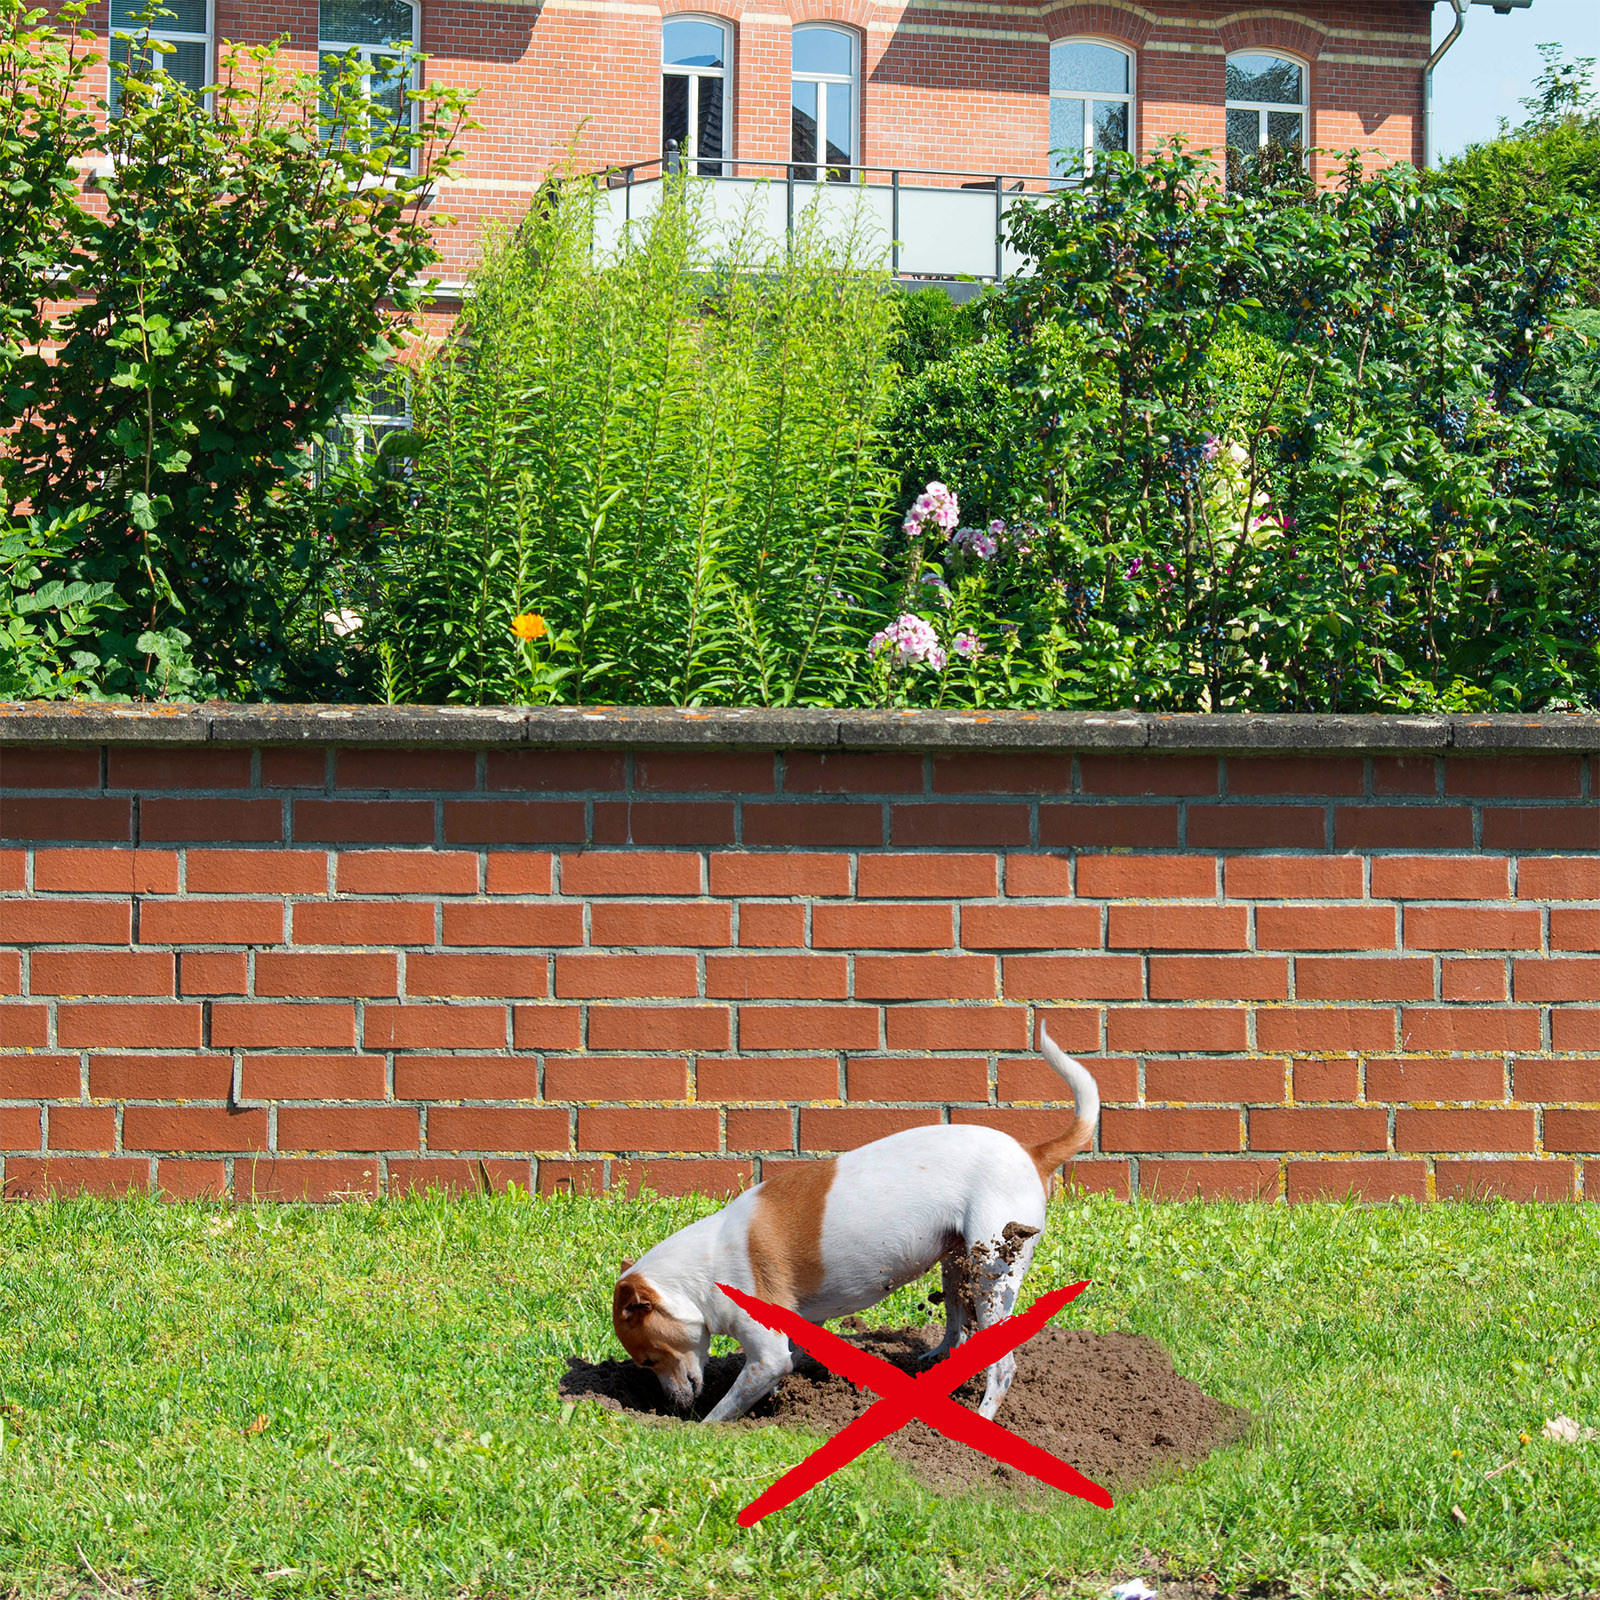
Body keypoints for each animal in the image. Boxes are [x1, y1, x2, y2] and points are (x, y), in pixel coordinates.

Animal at [611, 1024, 1100, 1427]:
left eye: (647, 1360)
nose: (672, 1406)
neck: (703, 1267)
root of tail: (1033, 1153)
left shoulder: (766, 1357)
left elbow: (730, 1404)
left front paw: (701, 1431)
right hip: (957, 1263)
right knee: (956, 1330)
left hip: (991, 1277)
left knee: (1003, 1367)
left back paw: (982, 1416)